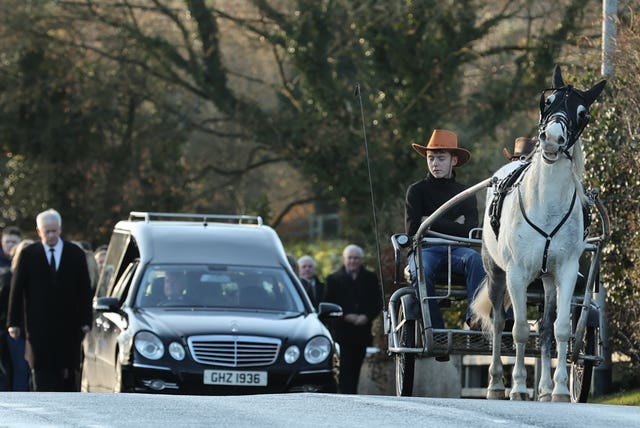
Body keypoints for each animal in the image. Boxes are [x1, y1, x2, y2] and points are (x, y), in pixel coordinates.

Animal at [472, 64, 608, 402]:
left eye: (583, 114)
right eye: (548, 102)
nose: (552, 138)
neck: (546, 204)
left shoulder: (566, 272)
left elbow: (559, 329)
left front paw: (558, 389)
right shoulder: (517, 273)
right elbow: (519, 329)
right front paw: (519, 387)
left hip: (546, 279)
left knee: (545, 328)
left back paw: (545, 389)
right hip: (496, 273)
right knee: (498, 323)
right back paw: (496, 384)